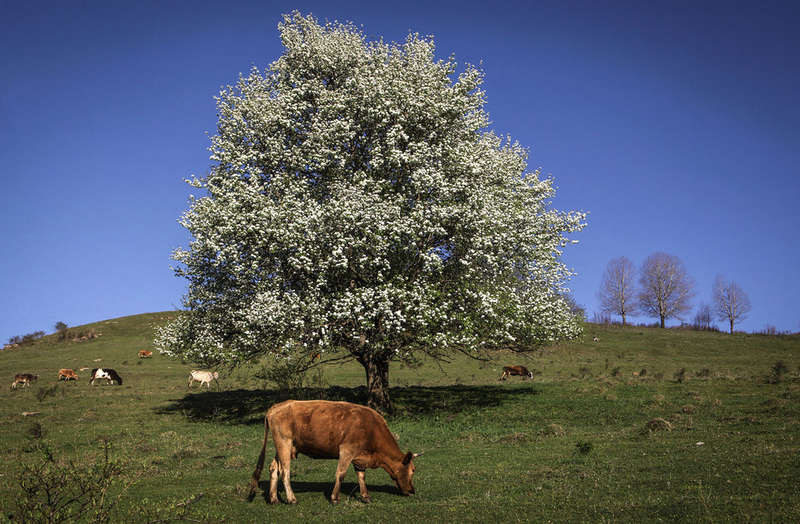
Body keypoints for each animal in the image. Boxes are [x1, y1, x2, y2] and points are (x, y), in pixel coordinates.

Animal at [248, 400, 418, 506]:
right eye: (412, 470)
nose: (412, 490)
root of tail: (277, 406)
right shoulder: (347, 450)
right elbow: (340, 474)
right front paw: (335, 498)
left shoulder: (359, 457)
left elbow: (361, 477)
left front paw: (365, 497)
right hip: (284, 442)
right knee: (285, 471)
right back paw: (291, 499)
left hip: (284, 447)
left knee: (274, 468)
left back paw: (274, 499)